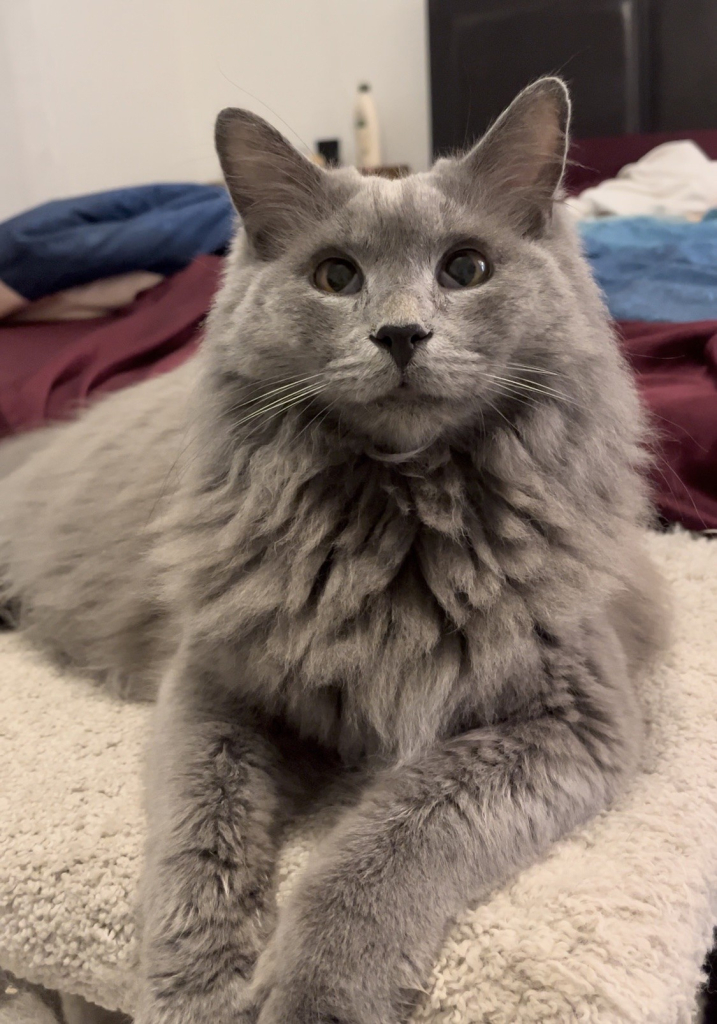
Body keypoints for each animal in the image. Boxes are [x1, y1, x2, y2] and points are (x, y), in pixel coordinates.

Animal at [0, 81, 667, 1024]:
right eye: (335, 277)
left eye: (465, 269)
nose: (400, 335)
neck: (398, 524)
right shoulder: (210, 686)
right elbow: (197, 843)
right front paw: (200, 992)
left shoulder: (571, 719)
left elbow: (392, 841)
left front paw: (314, 992)